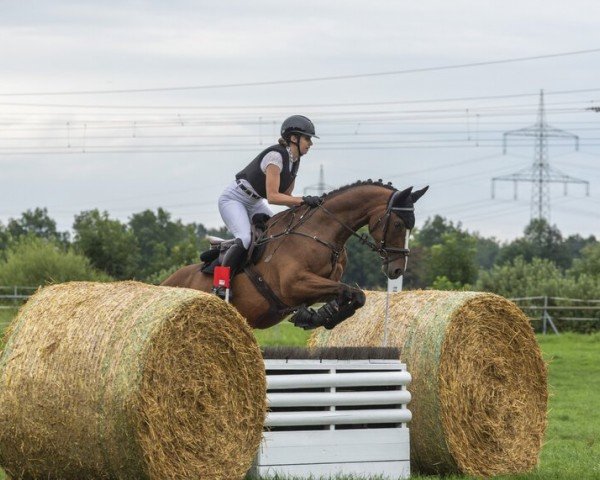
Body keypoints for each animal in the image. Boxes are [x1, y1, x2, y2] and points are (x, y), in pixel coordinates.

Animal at [162, 180, 428, 330]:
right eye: (398, 225)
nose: (397, 269)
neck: (320, 232)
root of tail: (165, 283)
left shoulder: (321, 284)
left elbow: (354, 294)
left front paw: (320, 316)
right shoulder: (294, 284)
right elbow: (348, 291)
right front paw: (318, 316)